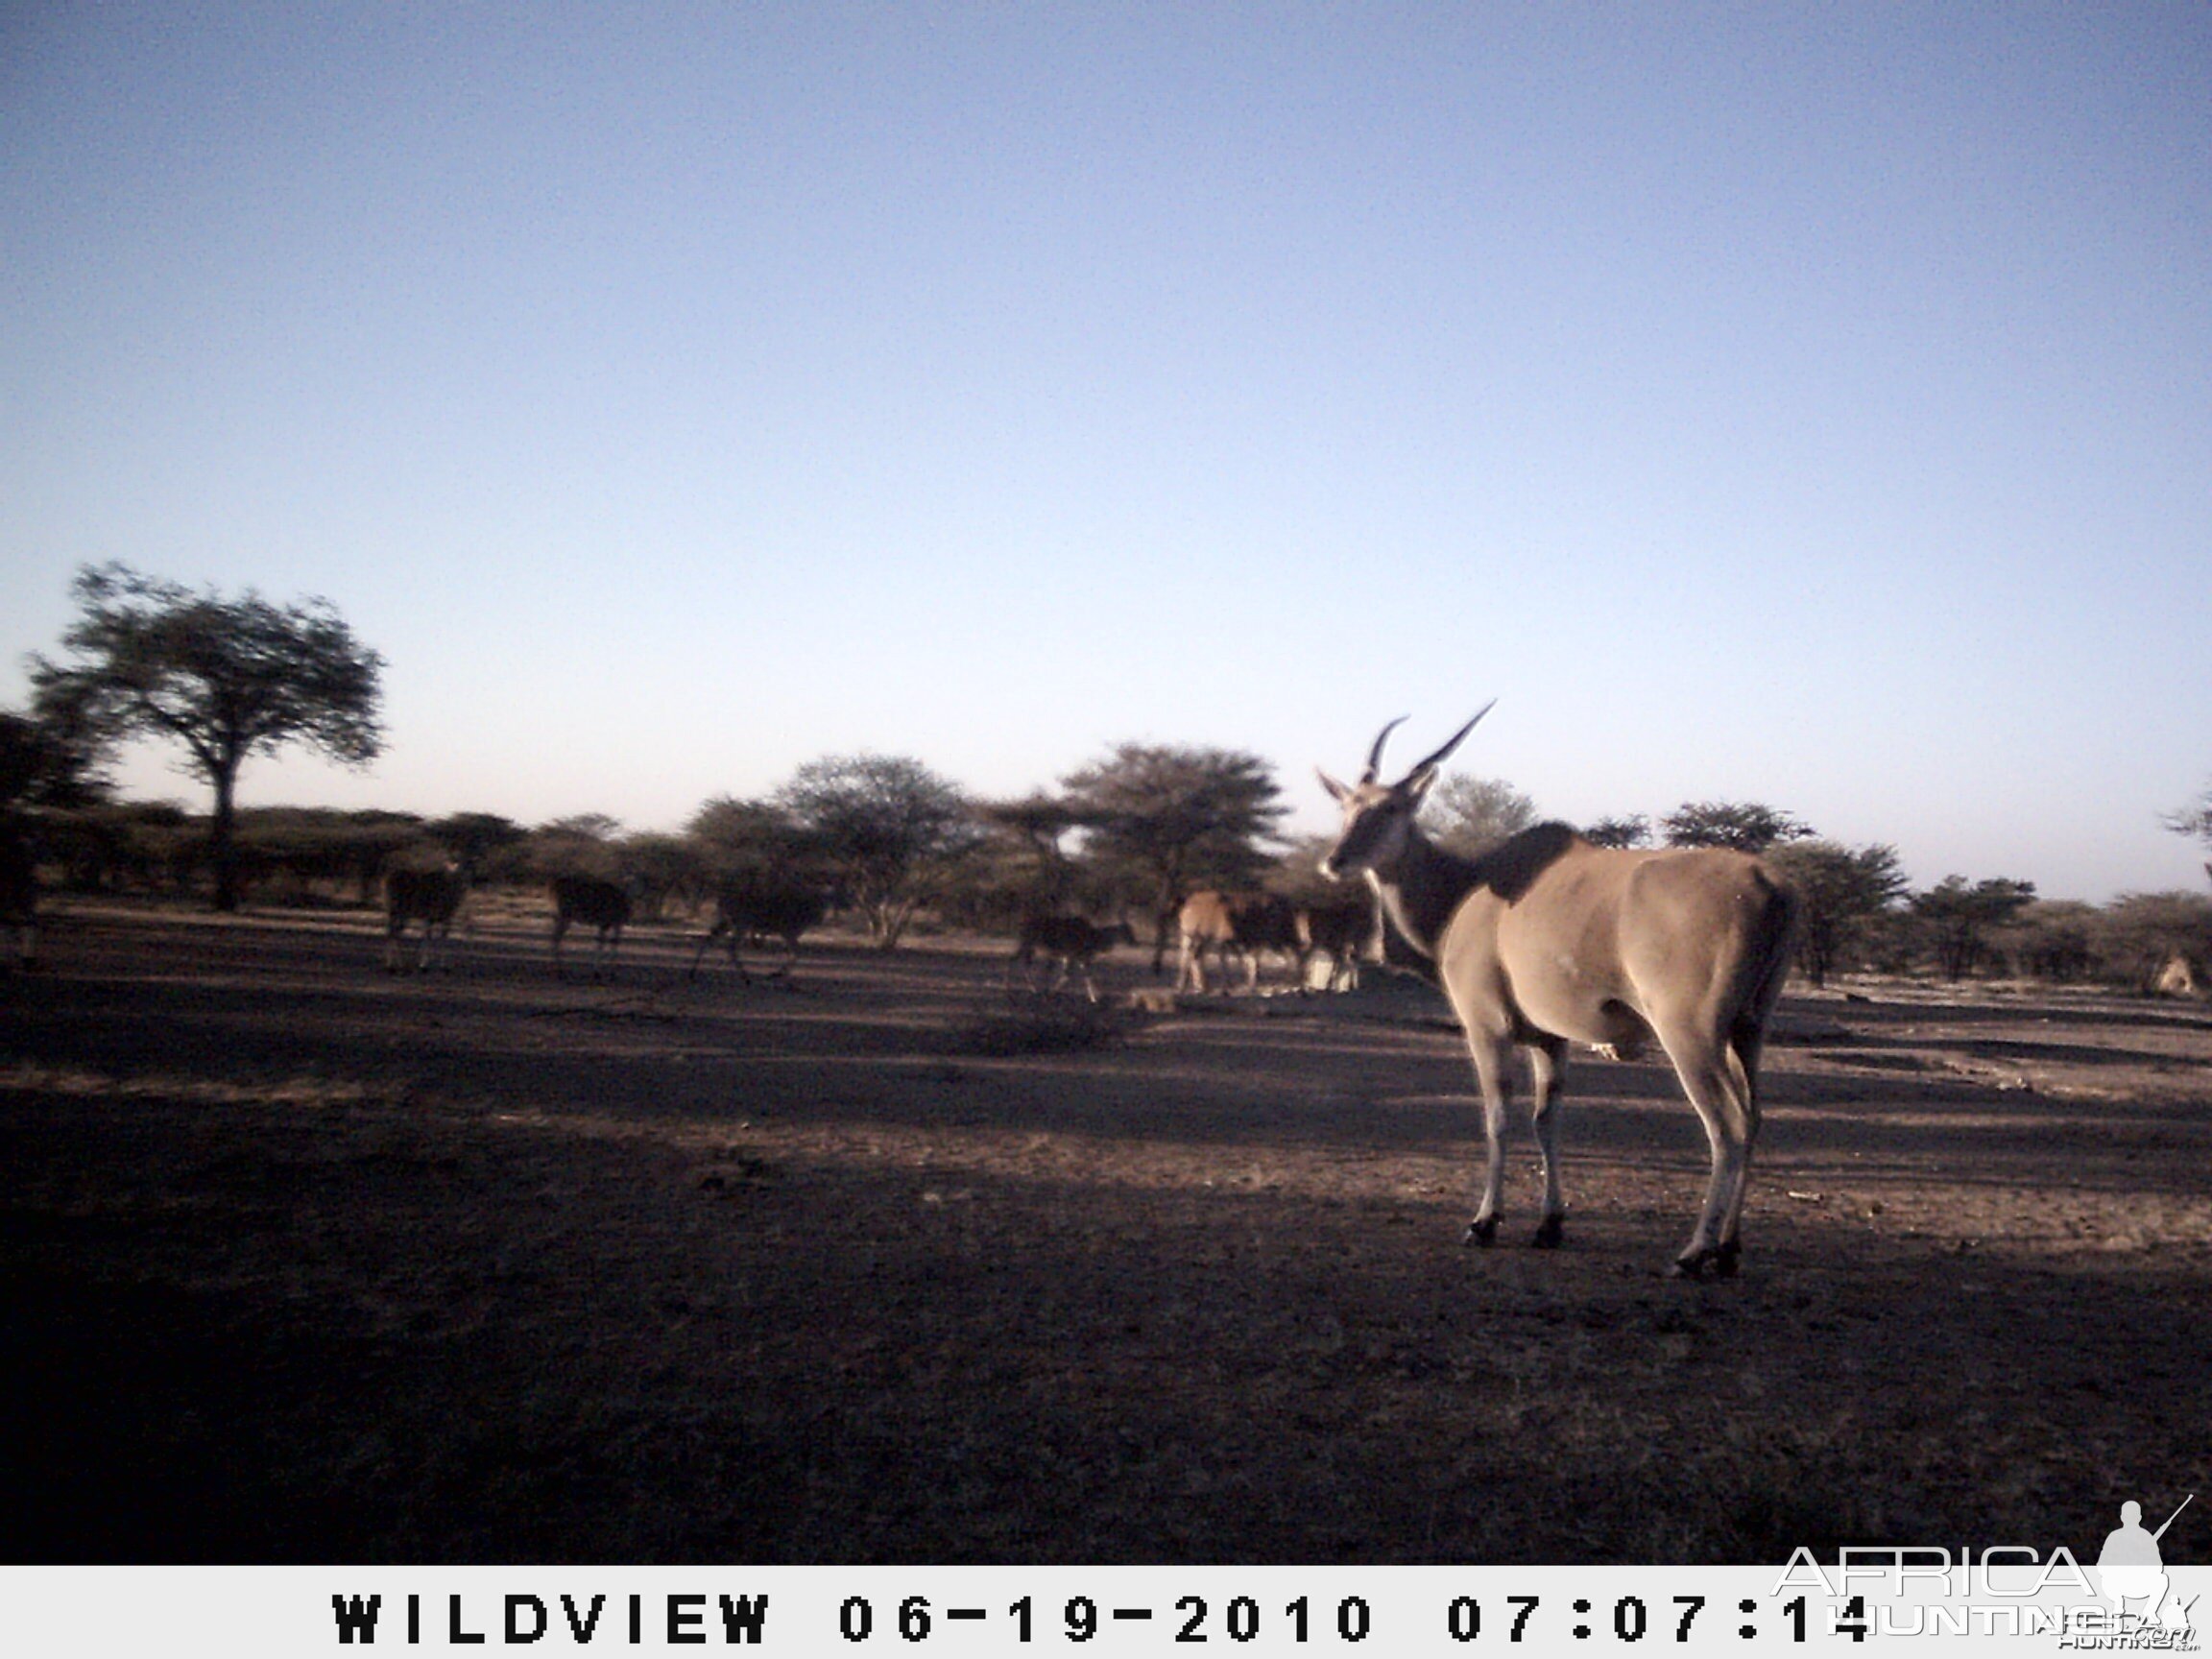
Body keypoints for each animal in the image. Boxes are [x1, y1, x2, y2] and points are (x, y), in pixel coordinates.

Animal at [685, 884, 831, 986]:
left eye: (824, 903)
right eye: (818, 902)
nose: (820, 917)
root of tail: (721, 901)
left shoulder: (788, 934)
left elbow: (794, 953)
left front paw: (778, 974)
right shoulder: (788, 933)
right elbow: (796, 953)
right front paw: (777, 974)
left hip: (727, 924)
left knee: (710, 940)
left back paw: (695, 973)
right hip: (741, 925)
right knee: (731, 947)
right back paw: (745, 977)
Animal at [1008, 915, 1141, 1008]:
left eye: (1132, 931)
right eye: (1128, 931)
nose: (1134, 942)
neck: (1095, 937)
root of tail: (1023, 923)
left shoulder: (1078, 960)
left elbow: (1087, 978)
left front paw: (1094, 999)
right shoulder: (1072, 957)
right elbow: (1067, 976)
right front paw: (1049, 995)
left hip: (1029, 948)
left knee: (1017, 961)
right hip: (1029, 946)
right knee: (1023, 965)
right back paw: (1030, 989)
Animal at [1309, 708, 1795, 1283]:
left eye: (1388, 808)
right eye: (1346, 807)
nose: (1335, 861)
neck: (1472, 888)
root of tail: (1769, 885)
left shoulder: (1486, 1027)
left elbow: (1497, 1118)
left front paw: (1484, 1223)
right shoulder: (1550, 1039)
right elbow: (1546, 1121)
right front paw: (1549, 1225)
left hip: (1690, 1035)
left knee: (1727, 1124)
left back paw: (1695, 1251)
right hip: (1749, 1029)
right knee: (1756, 1117)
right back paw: (1728, 1249)